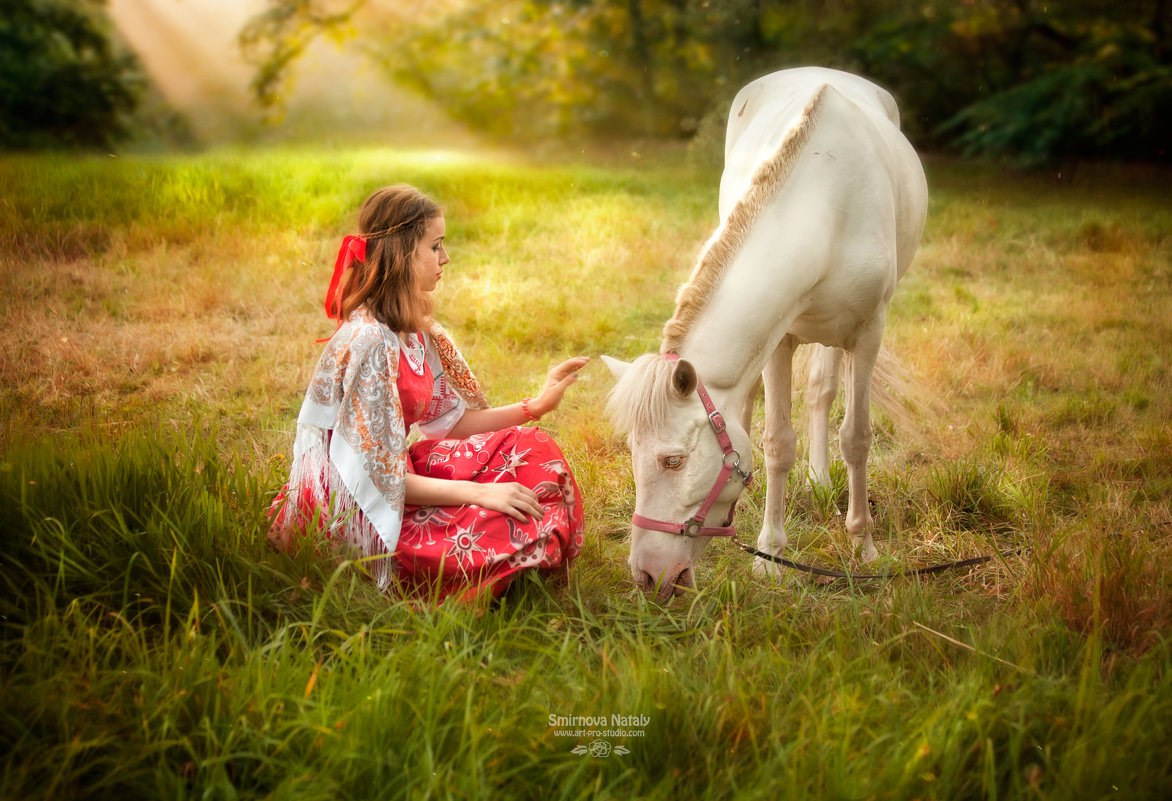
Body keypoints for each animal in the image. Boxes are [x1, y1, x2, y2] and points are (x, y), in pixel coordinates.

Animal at [604, 68, 923, 605]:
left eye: (672, 461)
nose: (646, 576)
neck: (826, 210)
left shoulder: (867, 334)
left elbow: (856, 437)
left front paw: (864, 547)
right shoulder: (781, 339)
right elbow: (776, 443)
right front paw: (770, 553)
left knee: (822, 392)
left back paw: (820, 481)